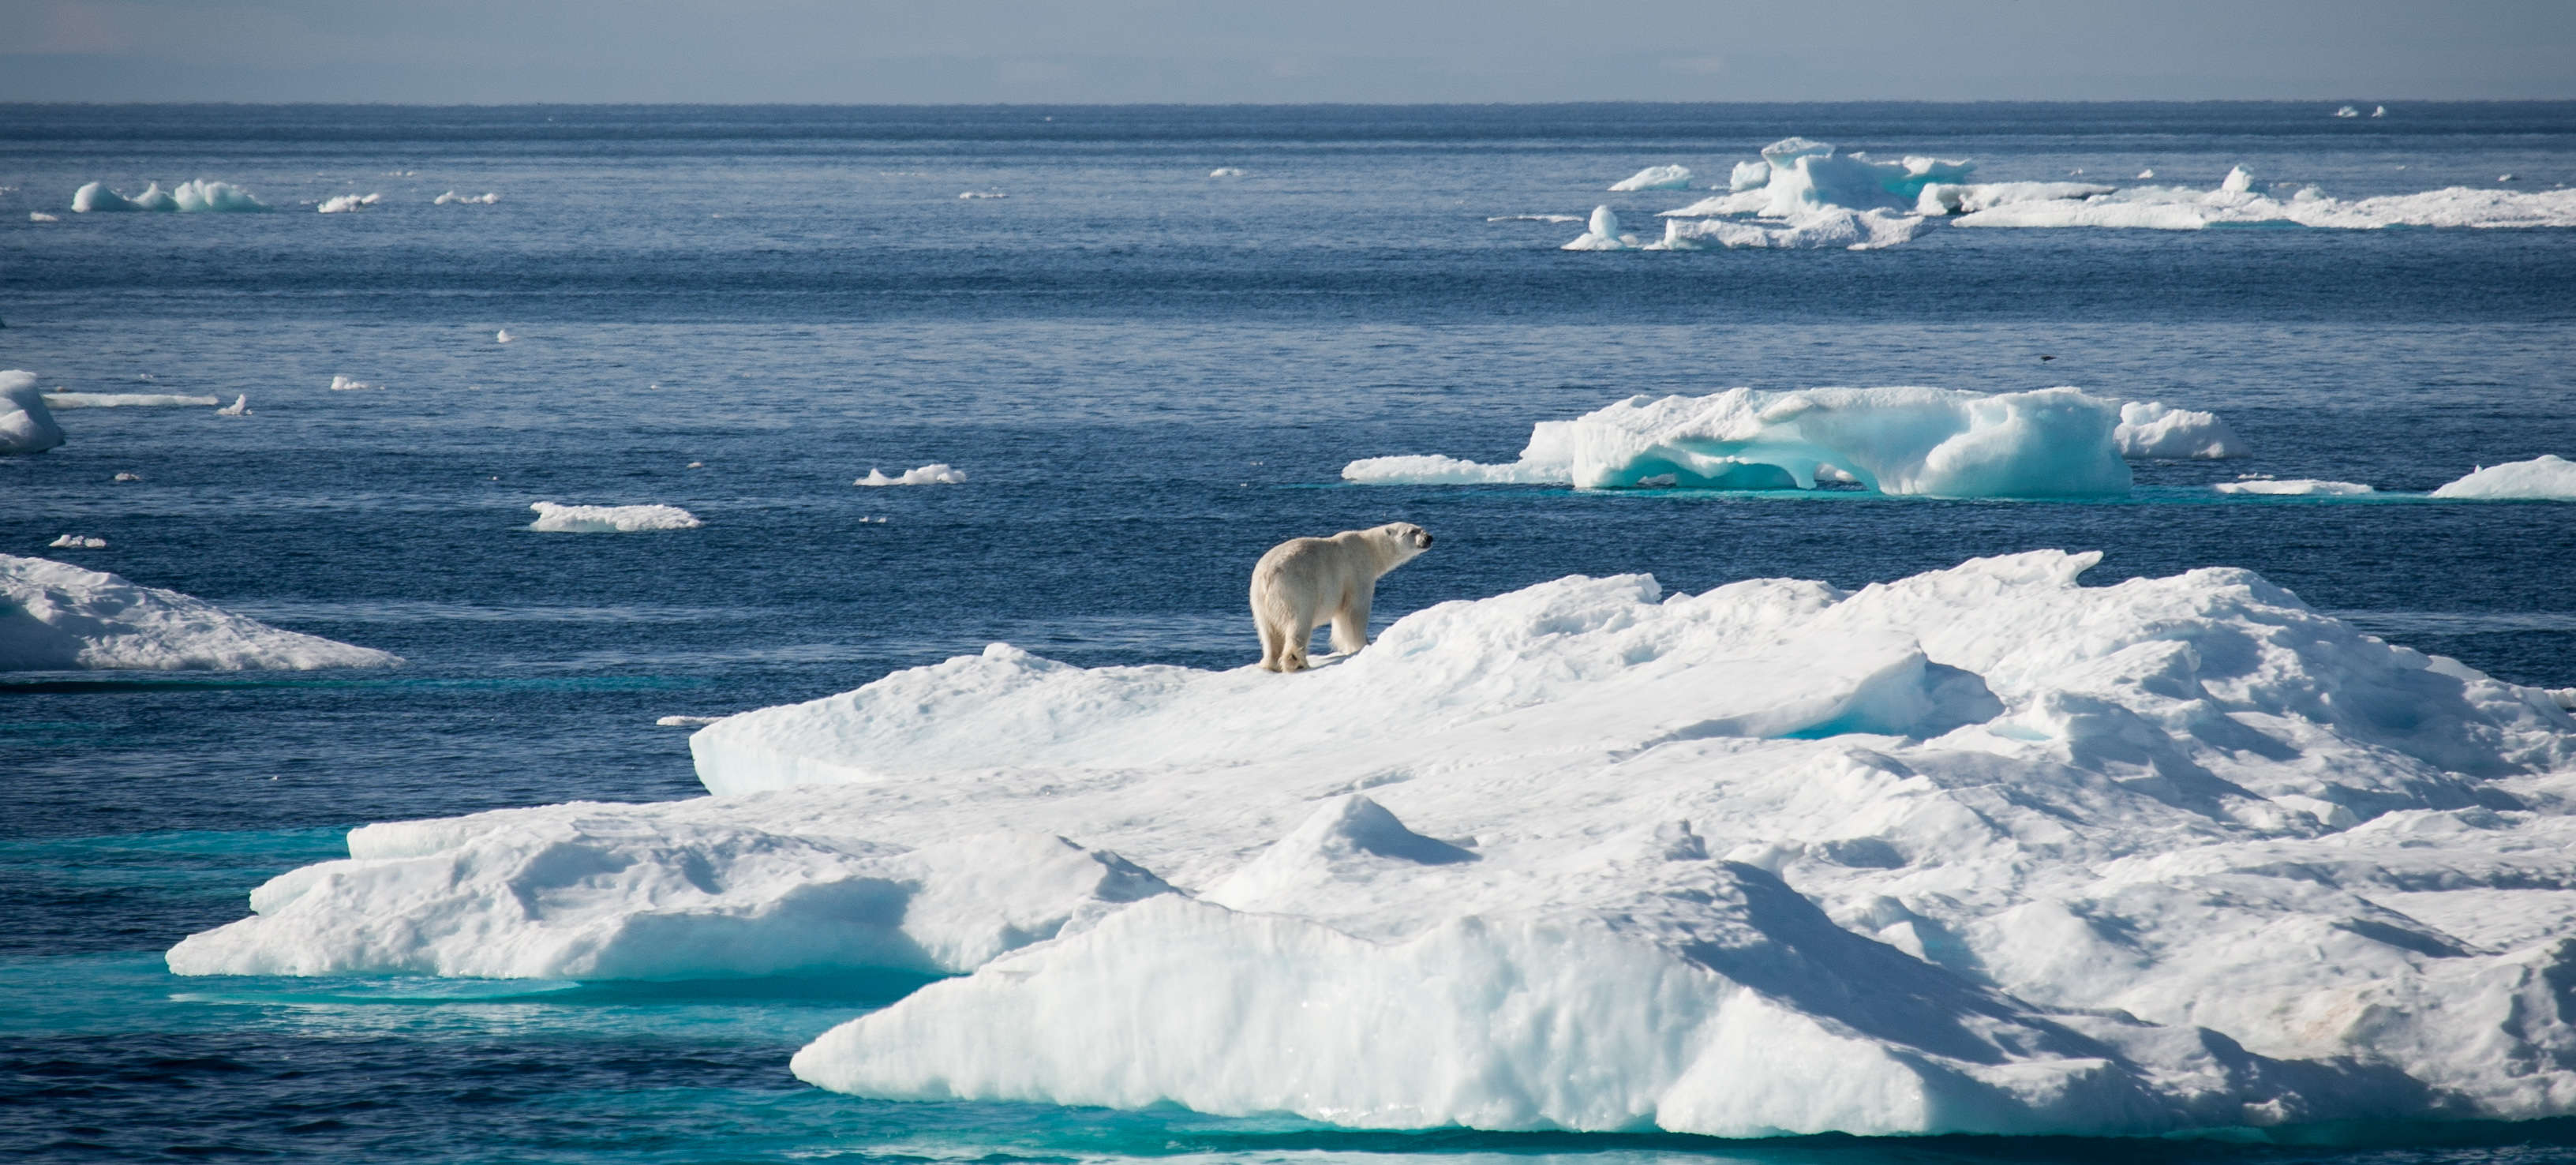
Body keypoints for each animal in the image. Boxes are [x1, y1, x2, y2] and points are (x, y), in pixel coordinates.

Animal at [1246, 520, 1432, 675]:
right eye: (1412, 531)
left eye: (1420, 527)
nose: (1429, 538)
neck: (1369, 548)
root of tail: (1267, 577)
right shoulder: (1356, 573)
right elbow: (1354, 613)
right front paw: (1363, 645)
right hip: (1296, 590)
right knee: (1298, 622)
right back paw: (1297, 662)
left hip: (1259, 602)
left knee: (1268, 632)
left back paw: (1270, 664)